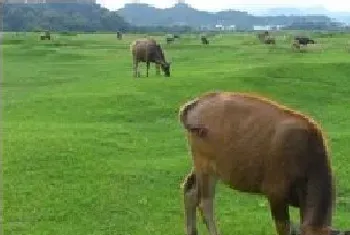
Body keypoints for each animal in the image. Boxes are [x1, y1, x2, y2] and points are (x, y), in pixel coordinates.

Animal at [179, 91, 338, 235]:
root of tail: (196, 102)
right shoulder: (276, 196)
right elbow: (284, 228)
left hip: (202, 168)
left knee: (190, 190)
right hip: (206, 169)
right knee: (204, 202)